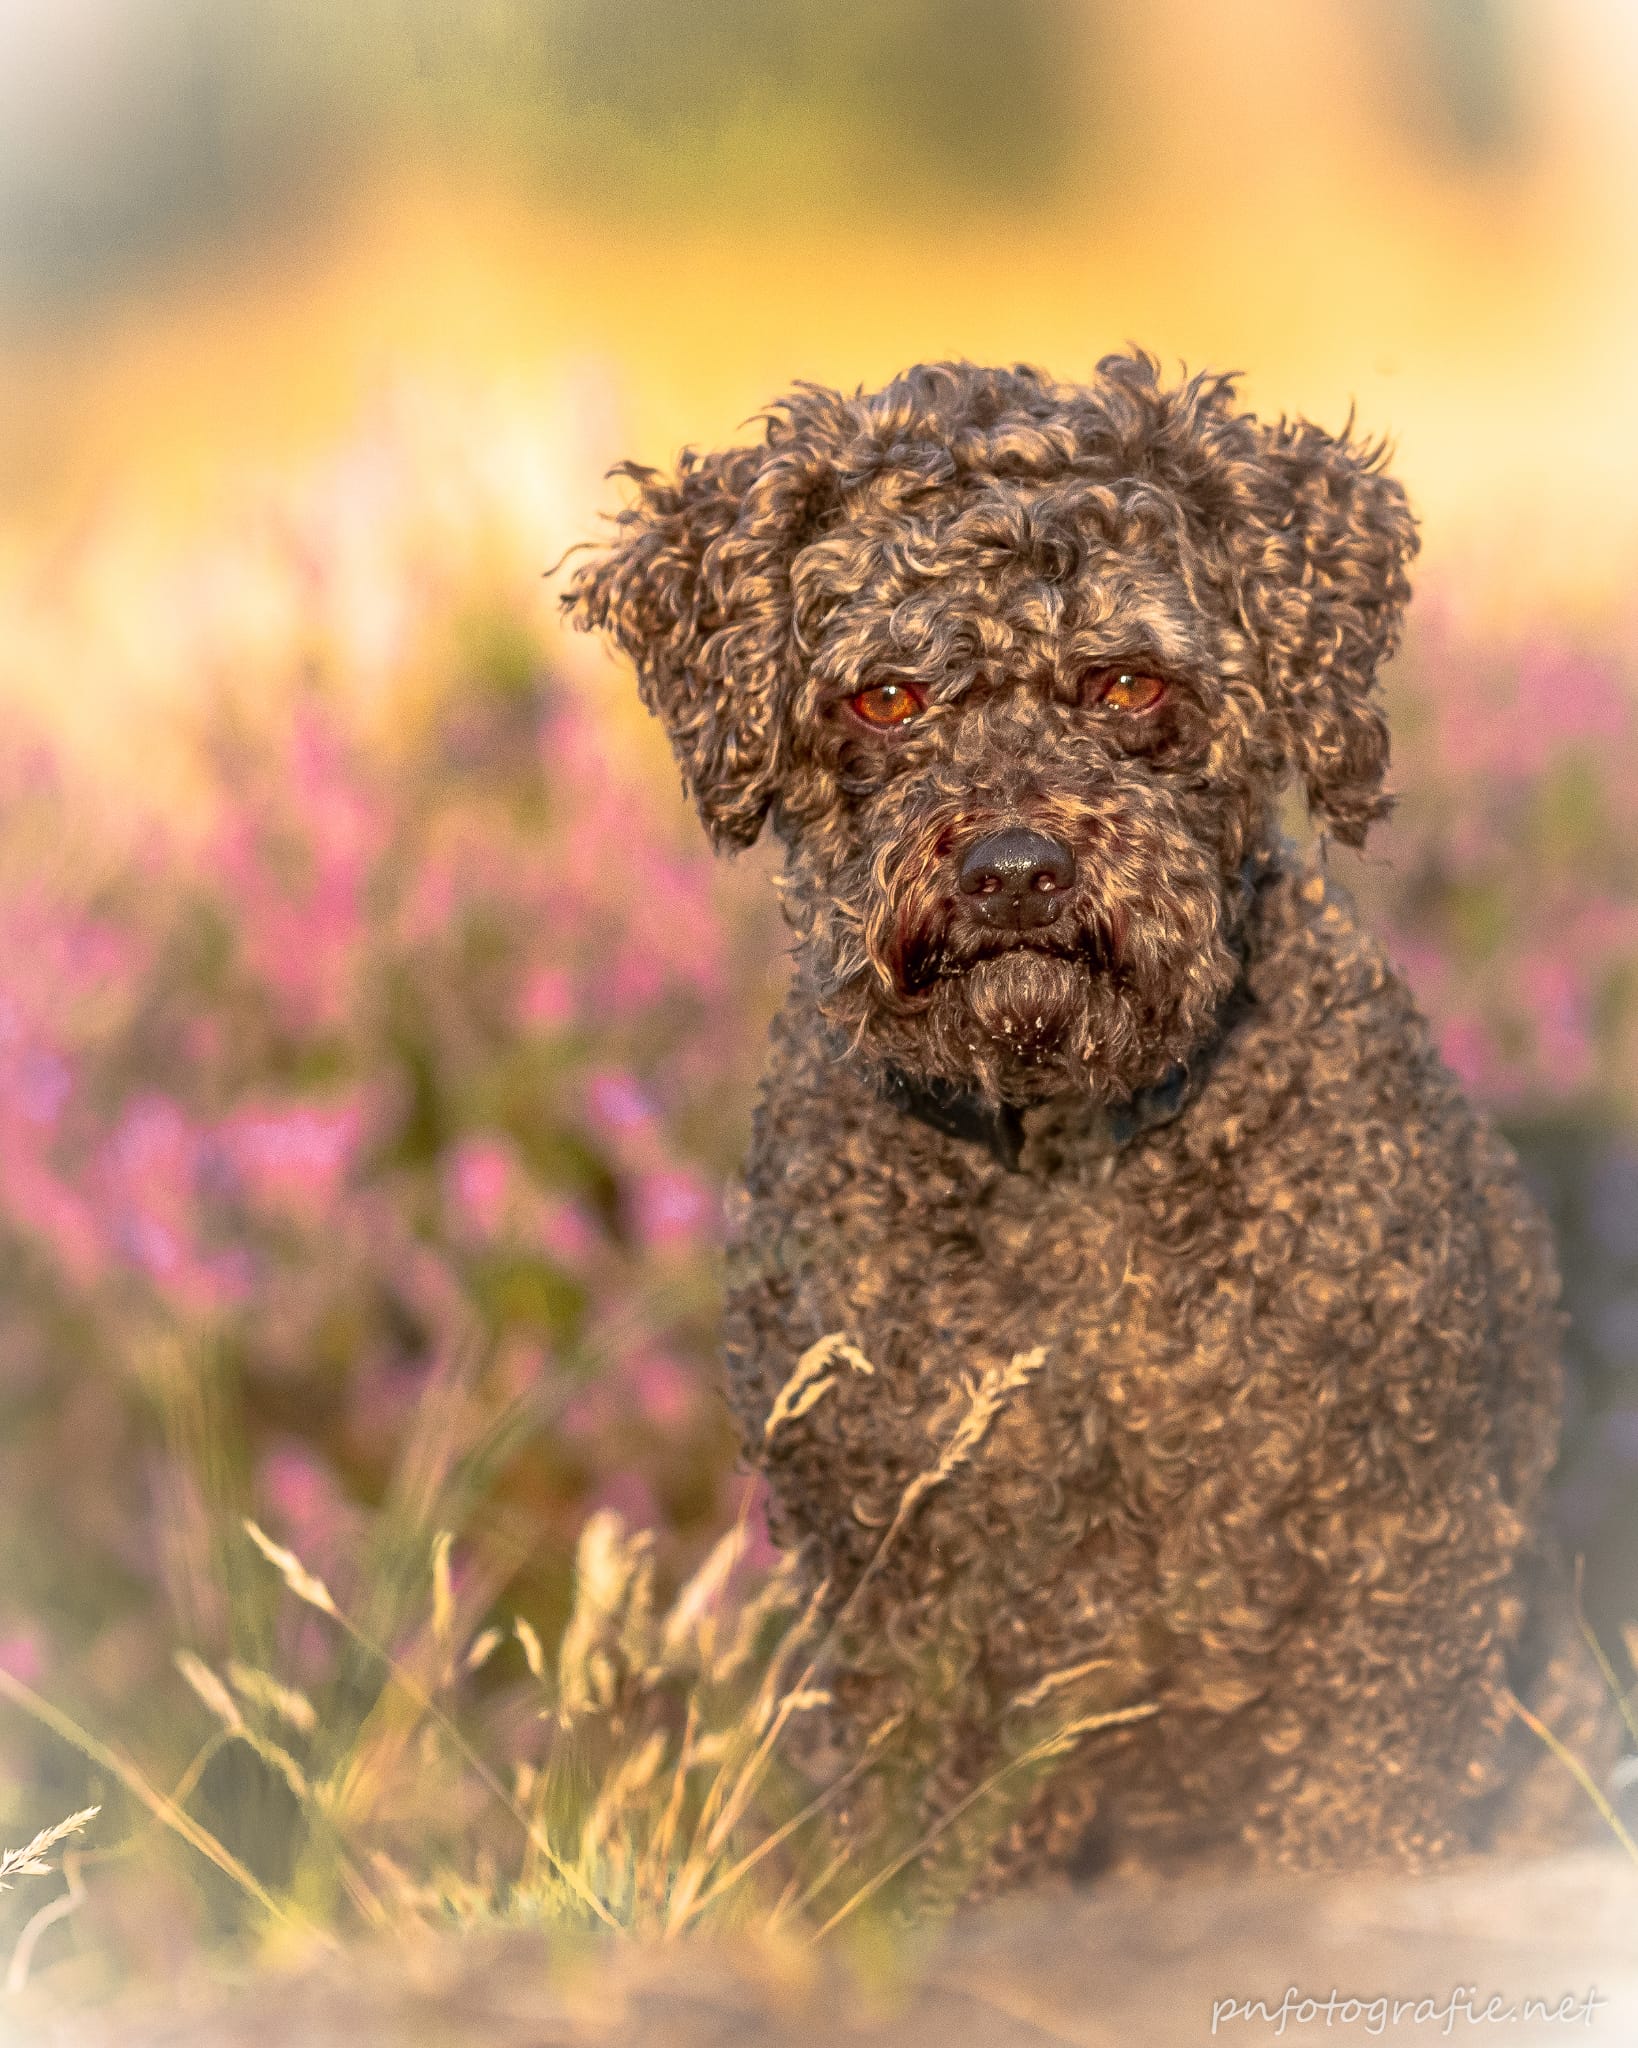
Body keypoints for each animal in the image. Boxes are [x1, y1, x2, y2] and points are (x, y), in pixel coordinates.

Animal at [569, 352, 1621, 1884]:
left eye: (1128, 681)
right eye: (886, 700)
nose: (1014, 869)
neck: (1068, 1162)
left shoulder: (1395, 1578)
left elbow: (1354, 1833)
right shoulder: (900, 1611)